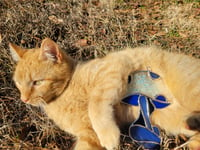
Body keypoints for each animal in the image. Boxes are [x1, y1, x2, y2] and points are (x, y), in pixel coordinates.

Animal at [9, 38, 200, 149]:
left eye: (37, 82)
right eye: (18, 83)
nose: (24, 99)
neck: (65, 94)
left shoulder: (112, 69)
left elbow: (95, 105)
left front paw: (109, 136)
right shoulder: (87, 135)